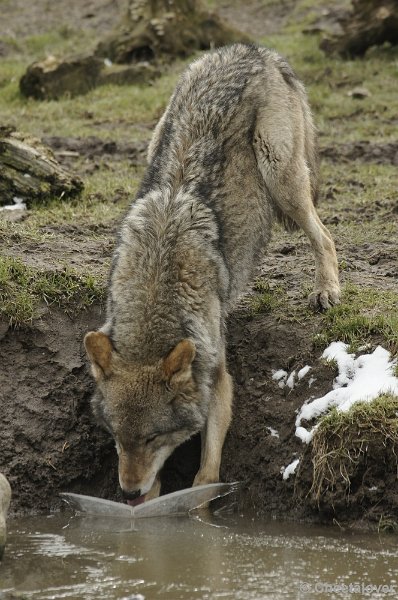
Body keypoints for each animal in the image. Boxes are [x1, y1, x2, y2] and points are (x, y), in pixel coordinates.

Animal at [84, 42, 338, 504]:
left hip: (281, 179)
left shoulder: (218, 382)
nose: (127, 493)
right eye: (117, 437)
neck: (157, 284)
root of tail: (252, 49)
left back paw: (327, 290)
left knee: (324, 234)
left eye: (153, 438)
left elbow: (206, 476)